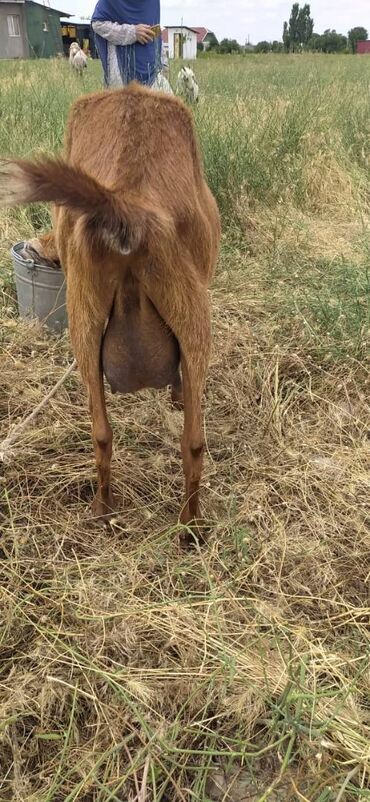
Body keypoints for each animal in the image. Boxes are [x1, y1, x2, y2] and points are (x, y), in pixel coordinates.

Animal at [0, 83, 220, 536]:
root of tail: (127, 200)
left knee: (101, 434)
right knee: (193, 443)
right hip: (195, 317)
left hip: (83, 322)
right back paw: (189, 528)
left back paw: (104, 511)